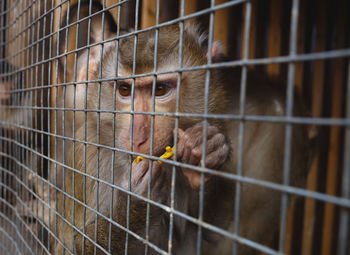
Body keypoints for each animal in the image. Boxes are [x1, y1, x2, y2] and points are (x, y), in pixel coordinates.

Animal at [54, 2, 308, 255]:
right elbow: (70, 244)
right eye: (125, 90)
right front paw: (134, 204)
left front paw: (204, 154)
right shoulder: (89, 154)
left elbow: (212, 233)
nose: (138, 137)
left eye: (160, 89)